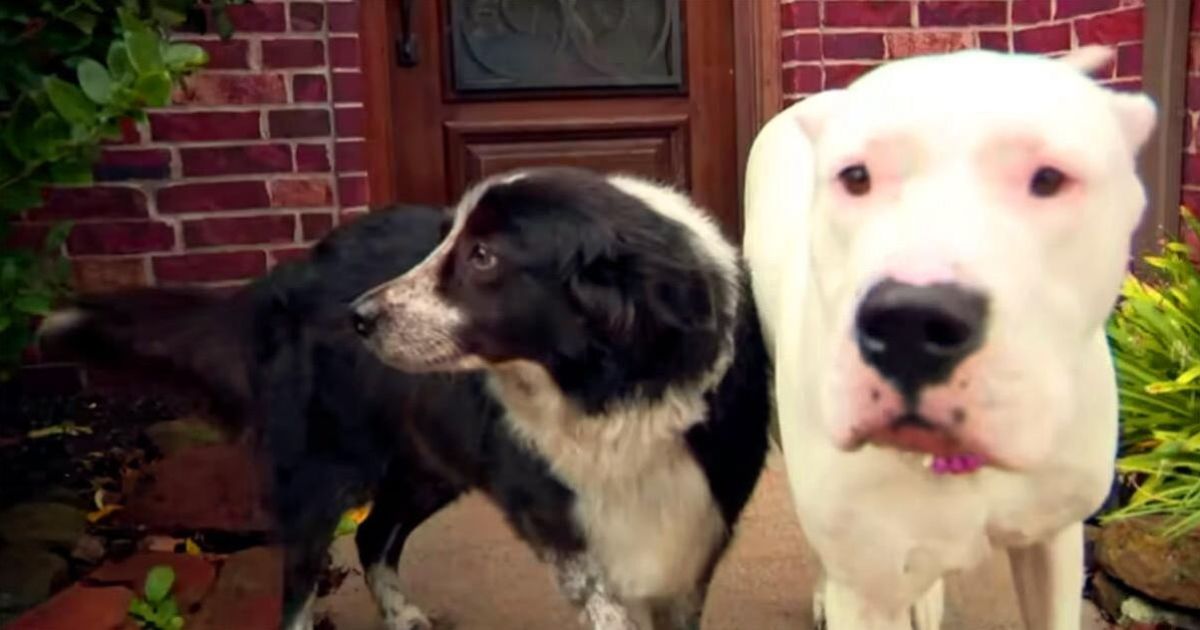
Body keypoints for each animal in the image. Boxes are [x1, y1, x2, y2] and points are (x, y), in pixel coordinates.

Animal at [39, 166, 768, 628]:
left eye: (482, 256)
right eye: (445, 240)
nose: (358, 318)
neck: (609, 392)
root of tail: (292, 270)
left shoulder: (695, 526)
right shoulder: (563, 523)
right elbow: (604, 603)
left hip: (427, 465)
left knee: (371, 537)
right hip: (320, 470)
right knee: (300, 584)